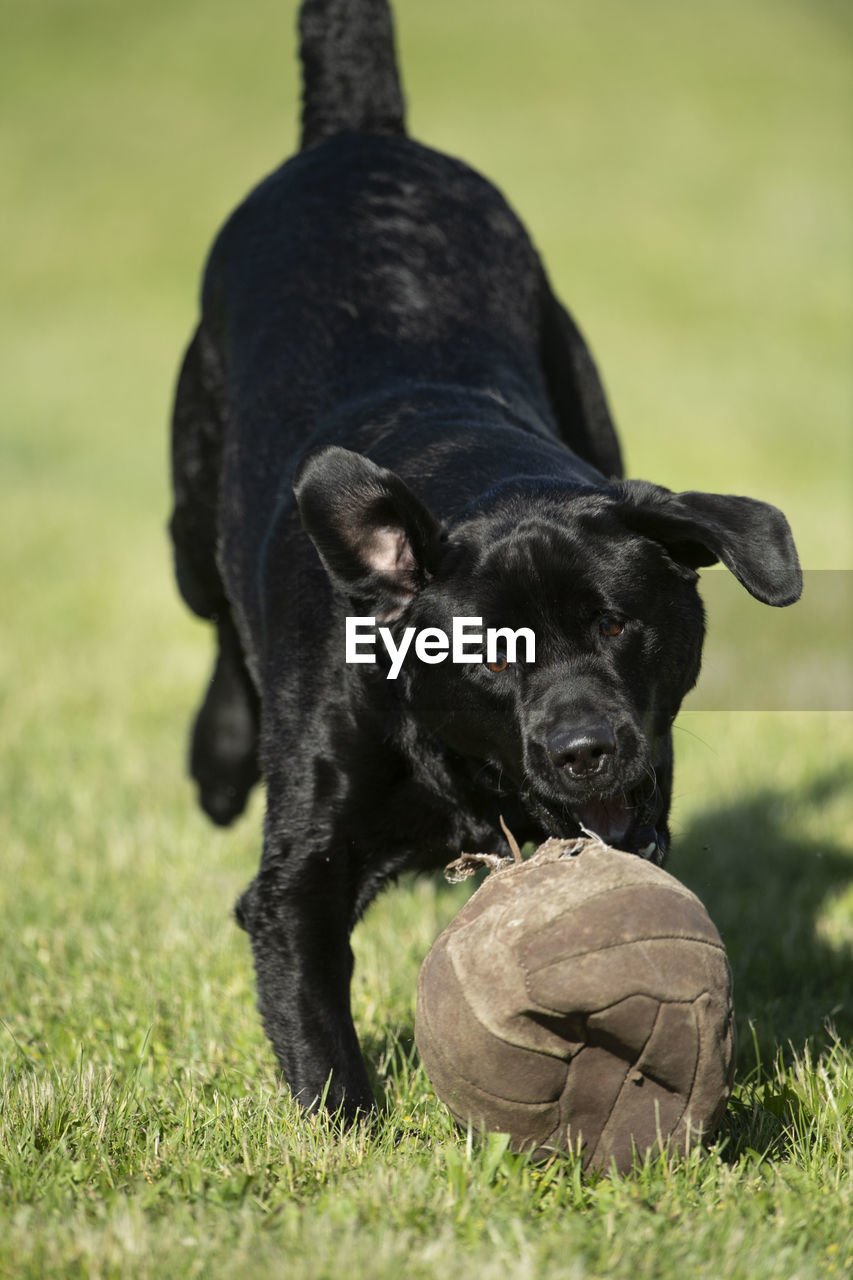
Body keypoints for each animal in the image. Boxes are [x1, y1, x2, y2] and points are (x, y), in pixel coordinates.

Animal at [169, 0, 799, 1121]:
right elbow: (309, 1011)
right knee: (215, 627)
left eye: (616, 622)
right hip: (191, 507)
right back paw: (218, 758)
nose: (586, 747)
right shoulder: (298, 872)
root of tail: (361, 136)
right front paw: (354, 1128)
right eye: (489, 655)